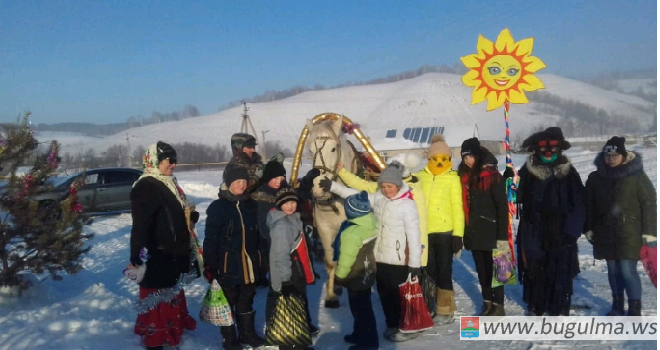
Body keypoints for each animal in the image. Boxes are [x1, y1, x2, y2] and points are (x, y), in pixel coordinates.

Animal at [304, 118, 360, 308]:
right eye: (310, 150)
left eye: (333, 148)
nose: (318, 187)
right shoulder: (324, 228)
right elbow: (330, 261)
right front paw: (330, 295)